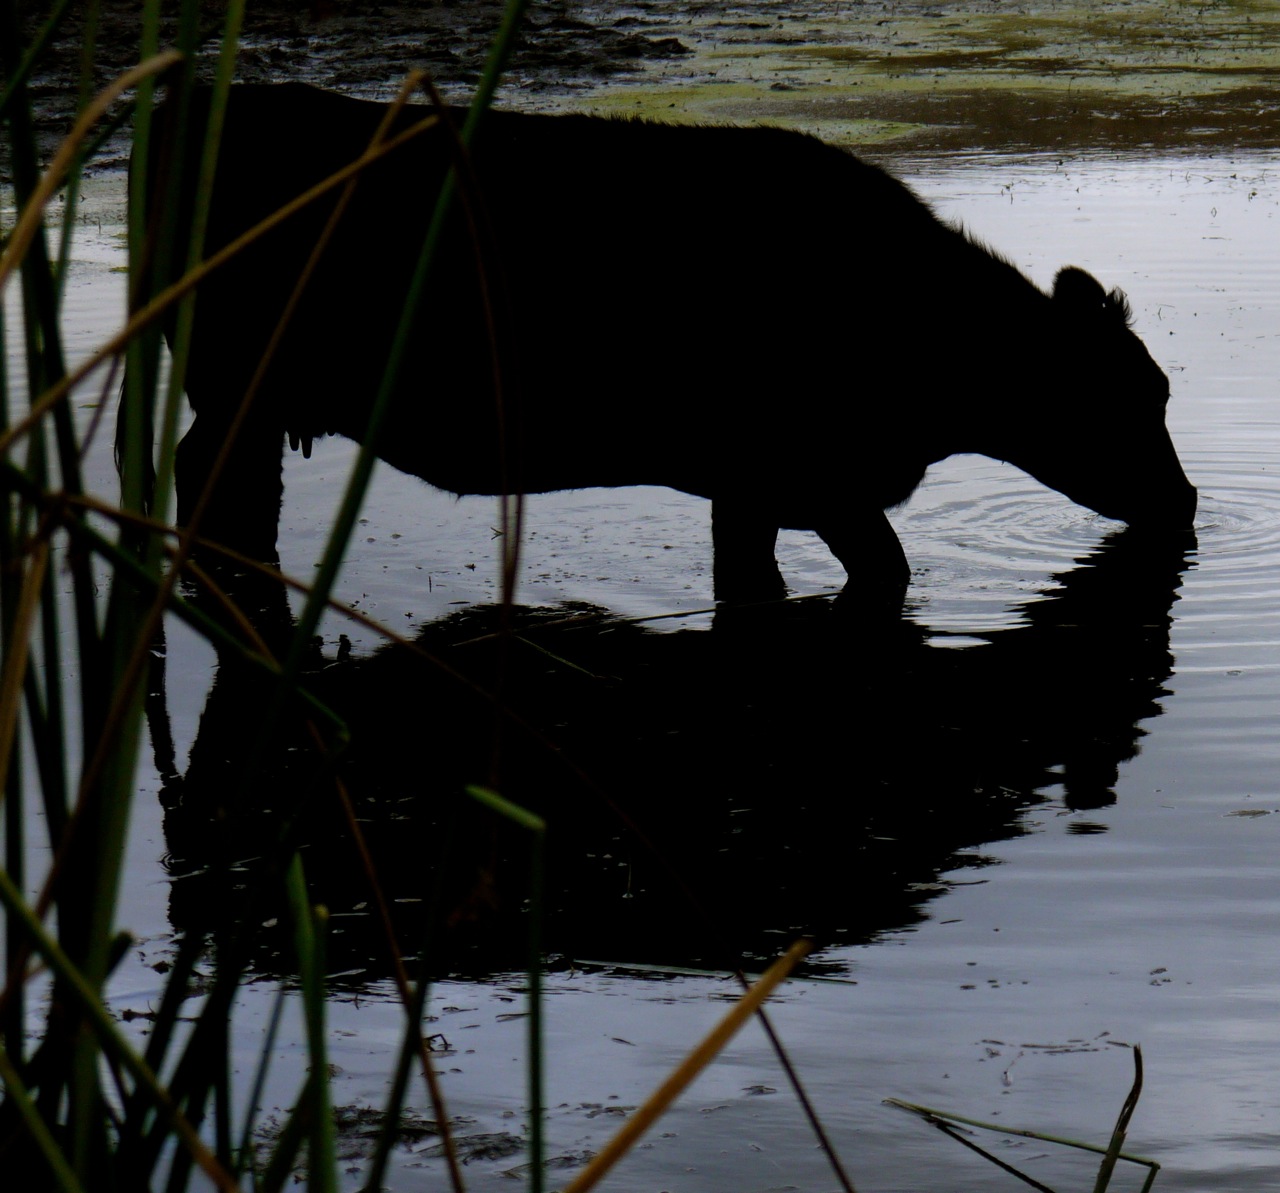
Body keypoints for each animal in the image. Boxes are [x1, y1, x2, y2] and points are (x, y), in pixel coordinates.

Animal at [125, 82, 1196, 611]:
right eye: (1129, 398)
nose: (1186, 500)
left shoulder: (756, 488)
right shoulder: (807, 476)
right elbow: (881, 570)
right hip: (239, 384)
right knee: (209, 477)